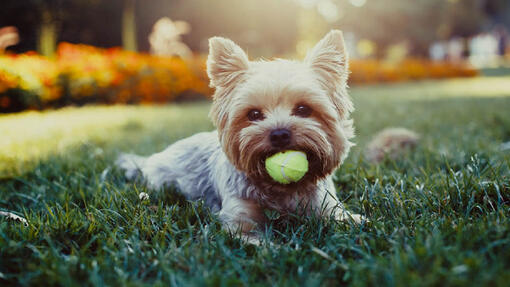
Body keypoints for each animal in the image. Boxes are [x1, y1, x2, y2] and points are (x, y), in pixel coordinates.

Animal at [116, 30, 362, 242]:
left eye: (303, 109)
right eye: (253, 114)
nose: (279, 133)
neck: (281, 189)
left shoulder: (325, 205)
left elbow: (345, 218)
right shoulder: (240, 217)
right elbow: (253, 239)